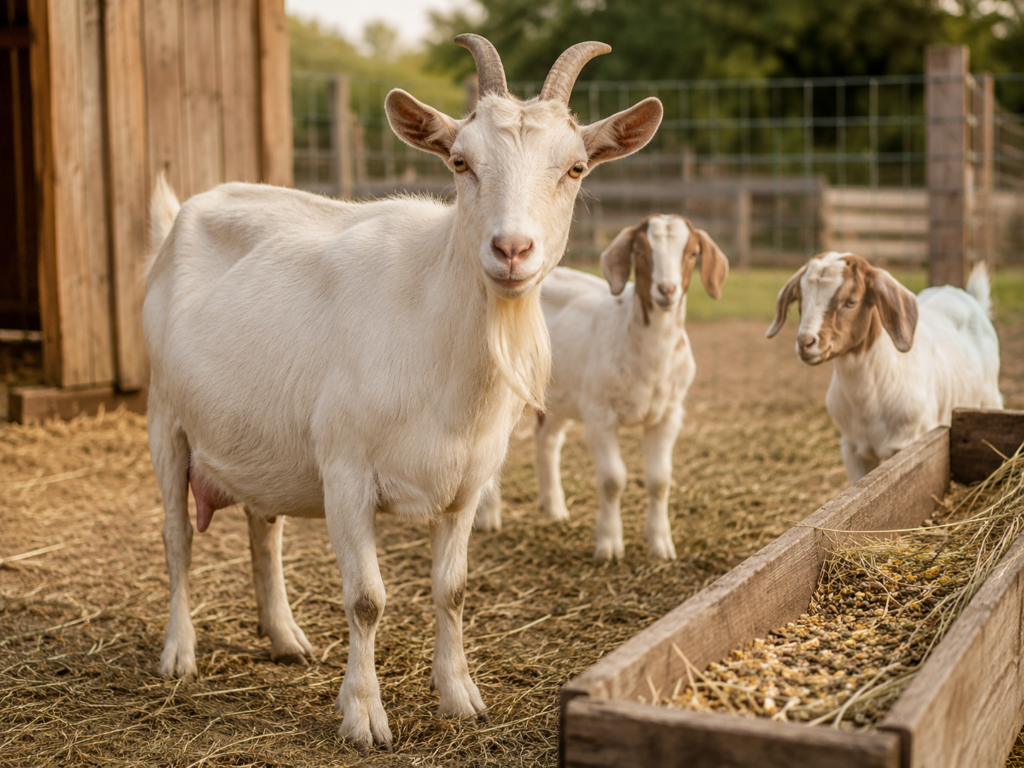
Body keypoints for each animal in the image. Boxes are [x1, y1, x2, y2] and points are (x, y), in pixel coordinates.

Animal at [143, 35, 663, 750]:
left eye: (576, 167)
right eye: (461, 161)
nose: (511, 248)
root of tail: (178, 218)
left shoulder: (468, 483)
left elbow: (454, 590)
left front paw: (461, 697)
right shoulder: (346, 472)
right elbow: (367, 599)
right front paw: (363, 716)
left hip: (259, 439)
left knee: (263, 530)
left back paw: (285, 638)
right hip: (166, 420)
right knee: (176, 537)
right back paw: (179, 654)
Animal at [475, 215, 729, 560]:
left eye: (691, 254)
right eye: (640, 252)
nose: (667, 290)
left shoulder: (669, 414)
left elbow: (660, 480)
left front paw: (661, 545)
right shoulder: (599, 413)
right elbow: (612, 479)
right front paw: (609, 544)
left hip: (559, 394)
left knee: (548, 441)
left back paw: (555, 510)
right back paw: (489, 519)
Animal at [766, 252, 1002, 483]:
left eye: (851, 301)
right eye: (800, 299)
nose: (805, 343)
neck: (868, 400)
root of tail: (966, 296)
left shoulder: (908, 444)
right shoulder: (852, 449)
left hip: (990, 399)